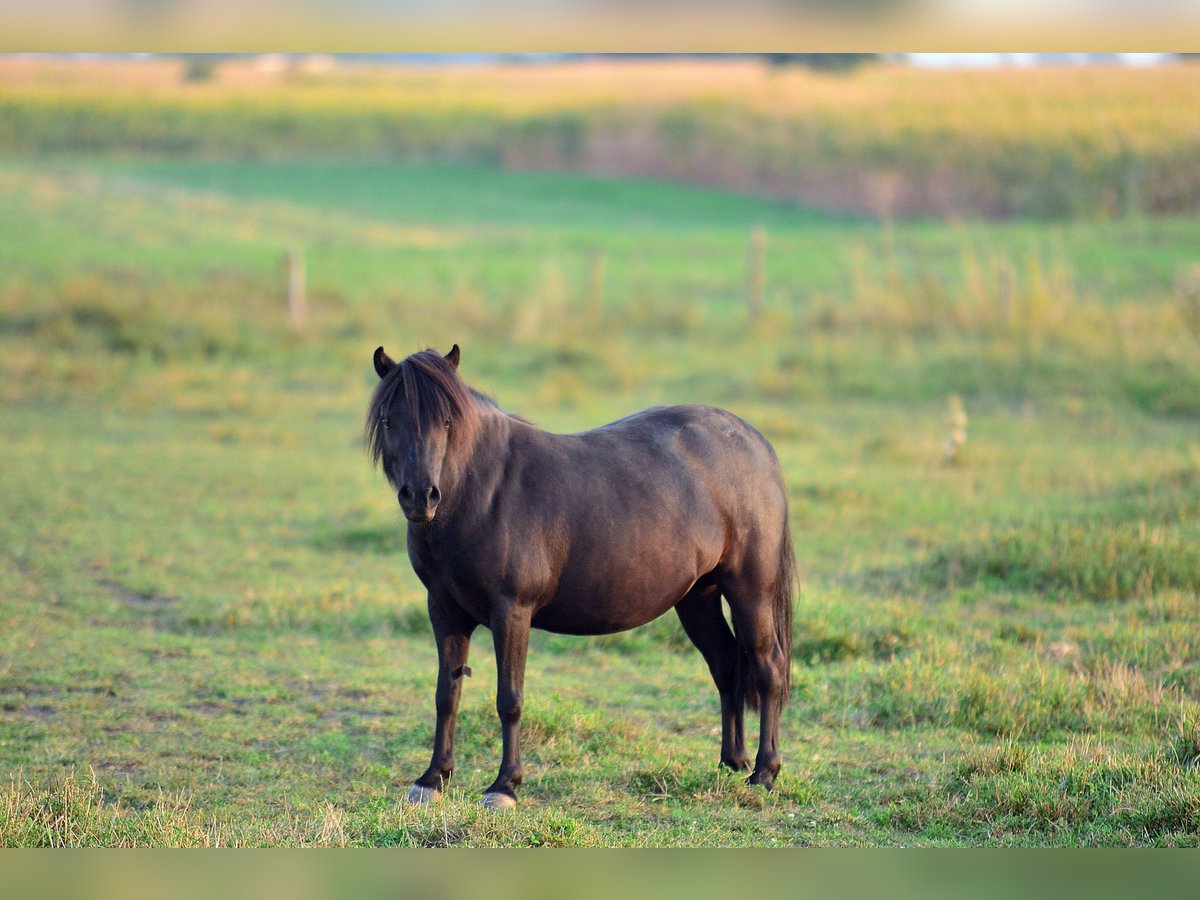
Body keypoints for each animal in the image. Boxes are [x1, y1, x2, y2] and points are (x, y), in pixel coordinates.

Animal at [364, 345, 796, 811]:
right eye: (388, 419)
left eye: (446, 421)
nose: (420, 496)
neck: (482, 491)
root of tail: (753, 441)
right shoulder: (443, 609)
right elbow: (447, 694)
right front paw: (432, 778)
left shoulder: (511, 612)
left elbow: (509, 698)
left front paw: (504, 786)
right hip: (699, 596)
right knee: (726, 664)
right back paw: (730, 762)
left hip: (750, 590)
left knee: (768, 667)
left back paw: (764, 772)